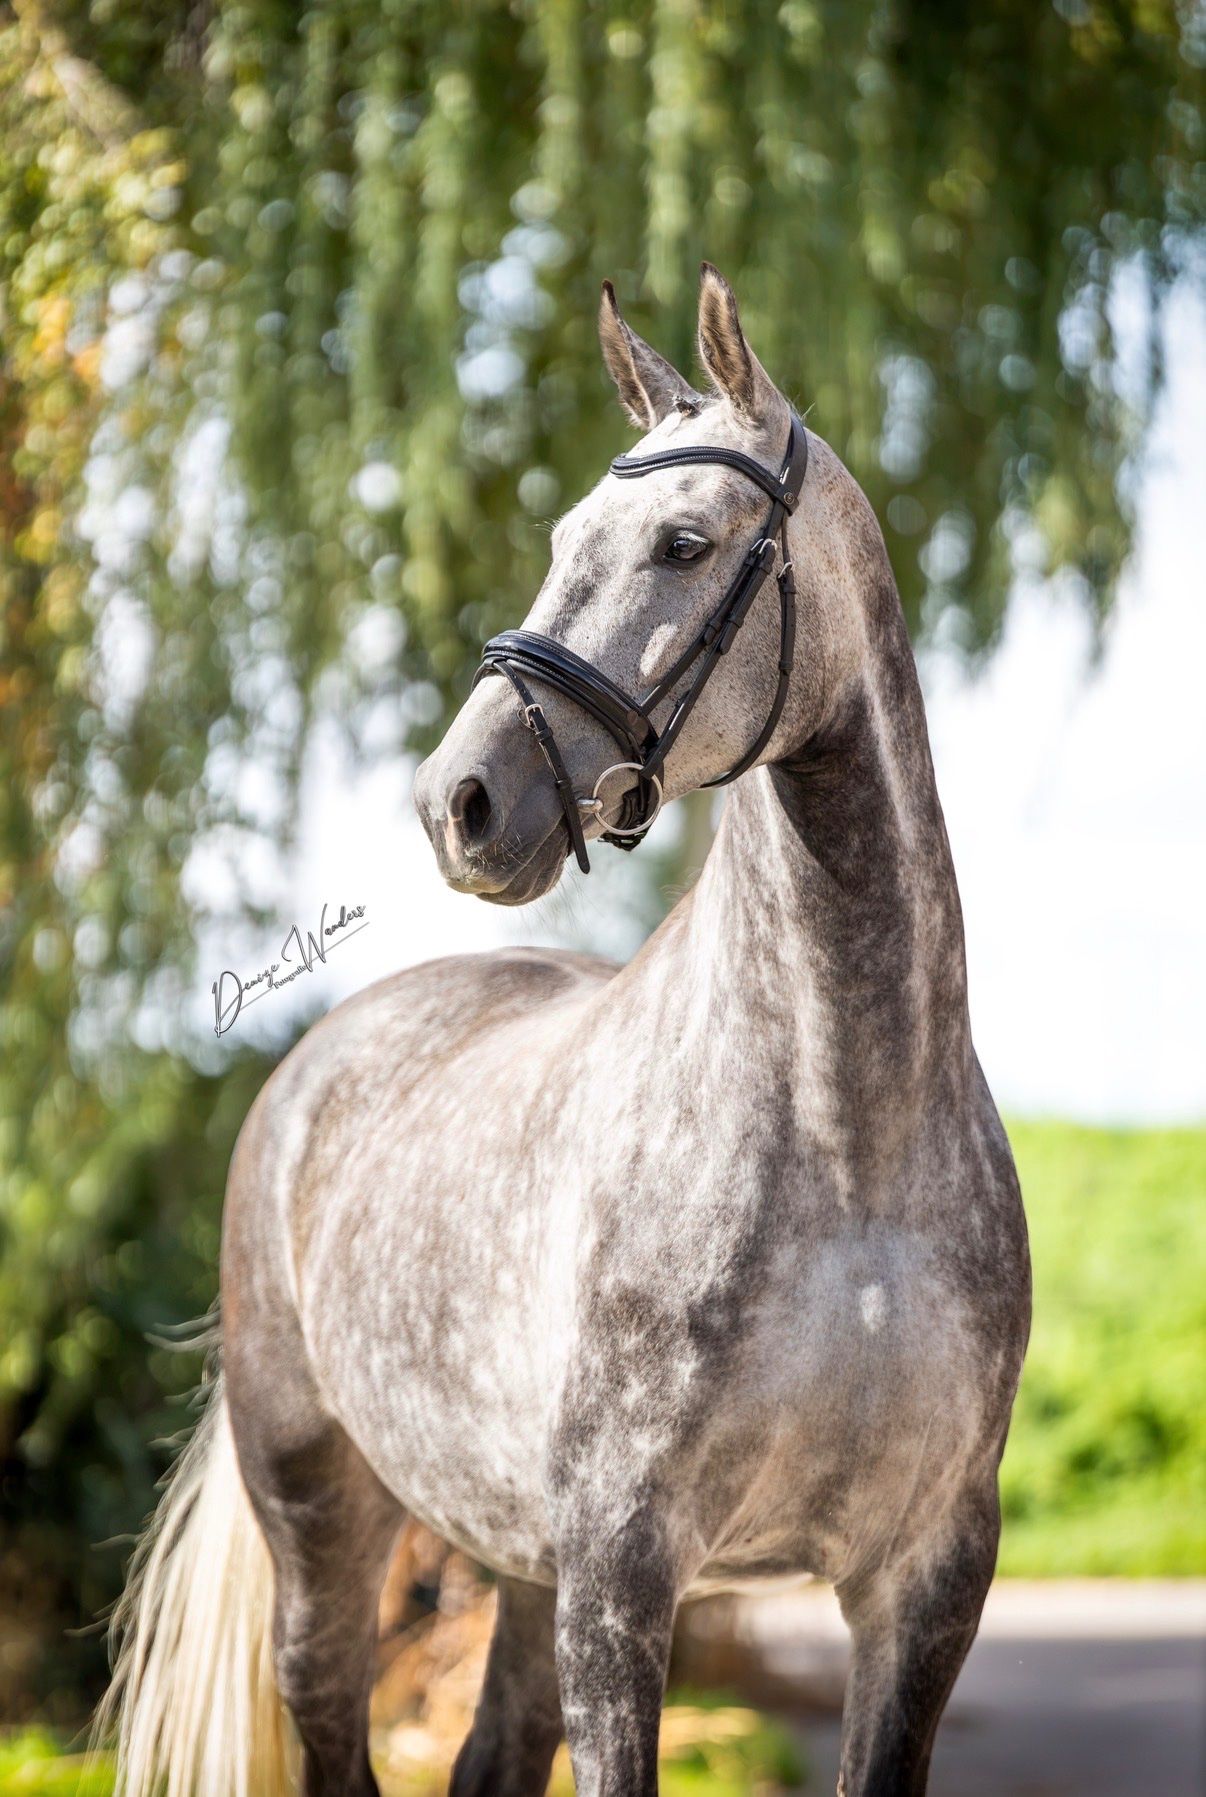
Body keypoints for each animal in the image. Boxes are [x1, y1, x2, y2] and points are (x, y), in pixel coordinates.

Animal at [100, 264, 1030, 1797]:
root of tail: (312, 1069)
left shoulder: (924, 1585)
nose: (459, 801)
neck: (850, 1150)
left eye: (682, 541)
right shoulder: (620, 1578)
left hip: (518, 1562)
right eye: (560, 541)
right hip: (325, 1530)